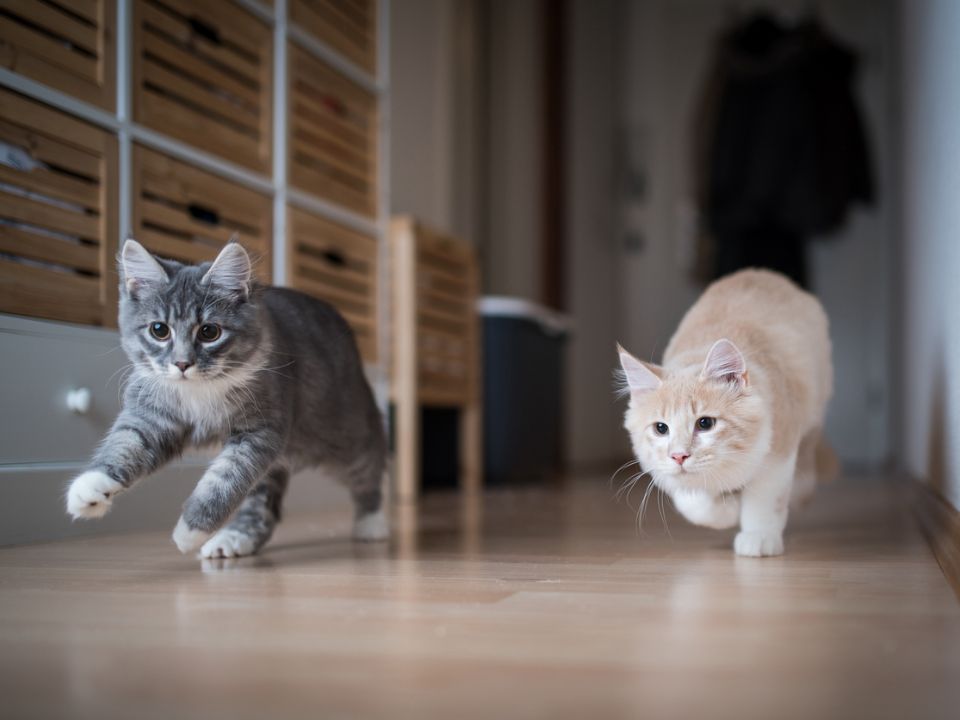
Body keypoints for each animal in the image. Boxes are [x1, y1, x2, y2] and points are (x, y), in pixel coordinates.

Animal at [64, 239, 390, 560]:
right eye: (159, 330)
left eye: (209, 332)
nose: (182, 364)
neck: (199, 391)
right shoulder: (152, 414)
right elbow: (126, 443)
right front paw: (90, 487)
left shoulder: (260, 432)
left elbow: (224, 481)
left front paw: (190, 530)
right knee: (261, 506)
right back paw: (234, 539)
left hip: (343, 435)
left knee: (370, 466)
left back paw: (373, 523)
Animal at [620, 270, 836, 556]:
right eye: (661, 428)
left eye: (705, 423)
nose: (679, 456)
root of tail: (762, 272)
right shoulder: (665, 474)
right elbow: (695, 504)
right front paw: (729, 509)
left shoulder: (778, 447)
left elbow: (765, 498)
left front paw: (758, 535)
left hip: (814, 406)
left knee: (807, 464)